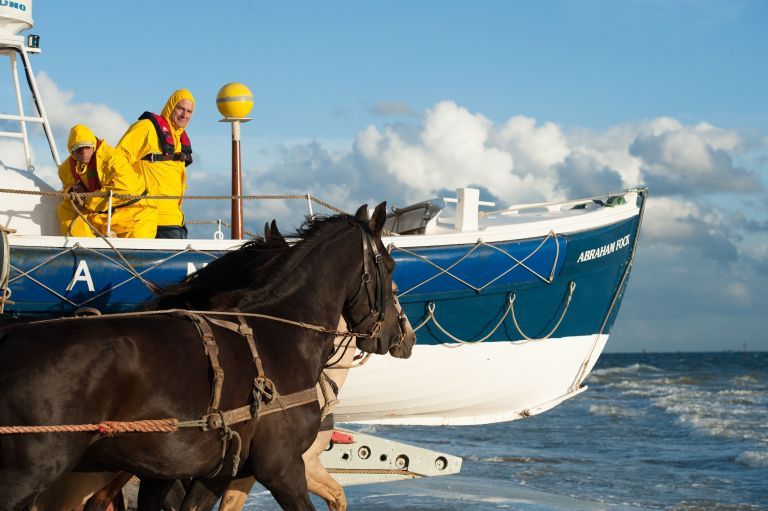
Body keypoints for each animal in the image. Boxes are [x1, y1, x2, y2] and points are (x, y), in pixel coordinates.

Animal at [0, 204, 414, 511]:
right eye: (390, 268)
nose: (400, 336)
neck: (282, 334)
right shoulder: (281, 467)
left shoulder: (216, 472)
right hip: (39, 471)